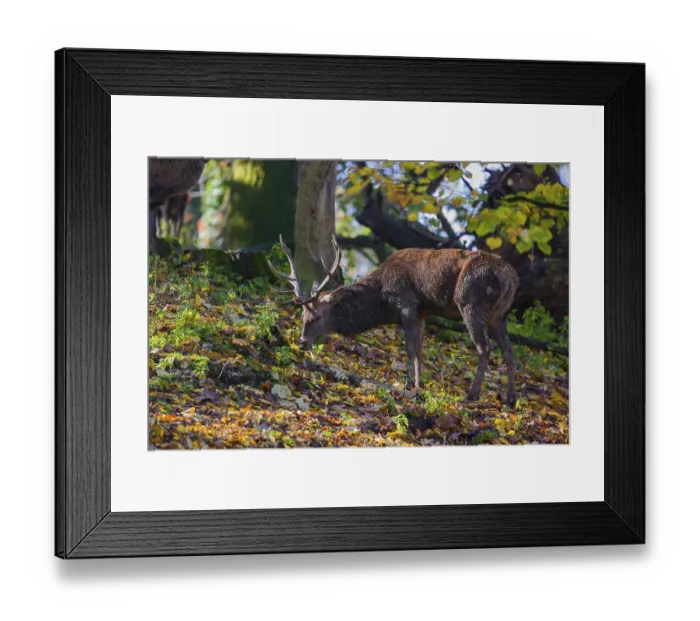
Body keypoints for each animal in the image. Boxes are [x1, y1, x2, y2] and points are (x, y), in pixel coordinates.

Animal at [268, 235, 519, 406]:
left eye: (317, 315)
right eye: (302, 315)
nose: (302, 342)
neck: (381, 298)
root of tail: (509, 276)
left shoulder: (406, 303)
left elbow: (409, 349)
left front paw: (408, 385)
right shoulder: (422, 311)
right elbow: (419, 350)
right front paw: (419, 386)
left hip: (470, 301)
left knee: (484, 347)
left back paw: (472, 394)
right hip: (499, 314)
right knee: (508, 349)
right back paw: (510, 398)